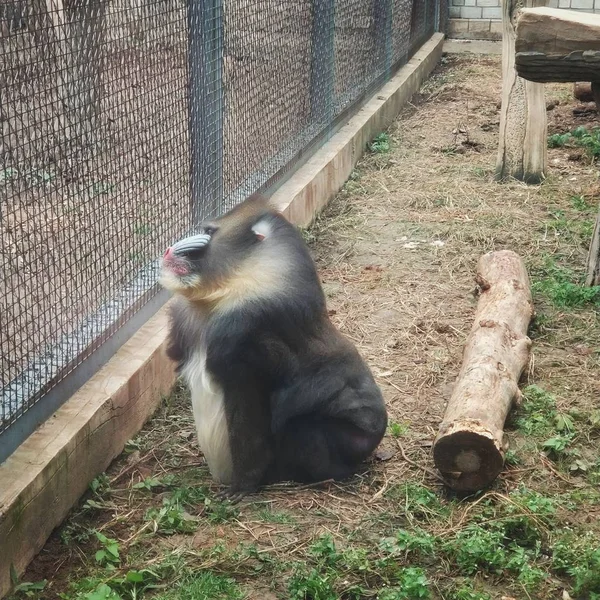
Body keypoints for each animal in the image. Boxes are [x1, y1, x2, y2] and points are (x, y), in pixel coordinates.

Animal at [157, 196, 386, 502]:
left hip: (346, 439)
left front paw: (242, 486)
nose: (169, 249)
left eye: (209, 232)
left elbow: (251, 416)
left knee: (304, 427)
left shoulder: (242, 336)